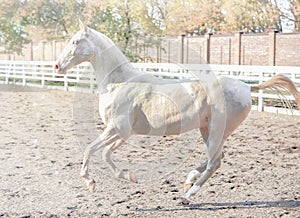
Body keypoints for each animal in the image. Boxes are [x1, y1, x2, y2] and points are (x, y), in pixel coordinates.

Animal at [54, 20, 300, 204]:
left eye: (75, 41)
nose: (57, 66)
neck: (120, 82)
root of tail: (247, 87)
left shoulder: (117, 128)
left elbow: (89, 149)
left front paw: (89, 182)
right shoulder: (123, 133)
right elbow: (105, 154)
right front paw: (129, 176)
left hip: (216, 130)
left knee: (214, 163)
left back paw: (187, 196)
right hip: (208, 130)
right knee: (215, 158)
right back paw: (189, 179)